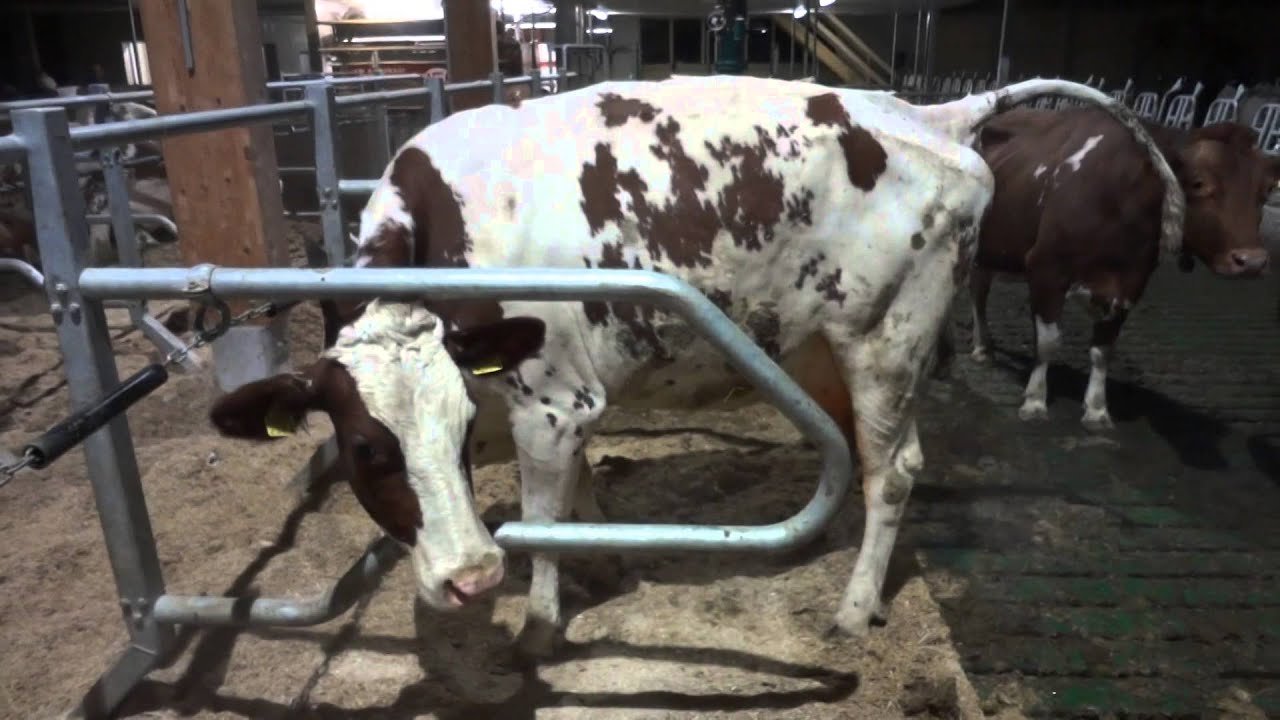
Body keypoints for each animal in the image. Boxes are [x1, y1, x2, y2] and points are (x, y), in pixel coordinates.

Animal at [204, 75, 1183, 658]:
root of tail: (923, 113)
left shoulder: (547, 402)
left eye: (452, 431)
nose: (470, 578)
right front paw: (604, 565)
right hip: (826, 349)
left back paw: (853, 606)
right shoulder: (563, 402)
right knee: (873, 459)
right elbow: (579, 492)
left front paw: (539, 624)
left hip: (887, 340)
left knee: (896, 469)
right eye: (370, 450)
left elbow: (541, 516)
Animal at [958, 106, 1280, 431]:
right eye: (1199, 182)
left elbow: (1103, 351)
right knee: (978, 294)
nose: (1251, 261)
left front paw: (1097, 410)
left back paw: (983, 344)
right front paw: (1035, 402)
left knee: (978, 287)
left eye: (1266, 190)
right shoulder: (1046, 269)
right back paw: (982, 348)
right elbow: (1048, 342)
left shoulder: (1130, 283)